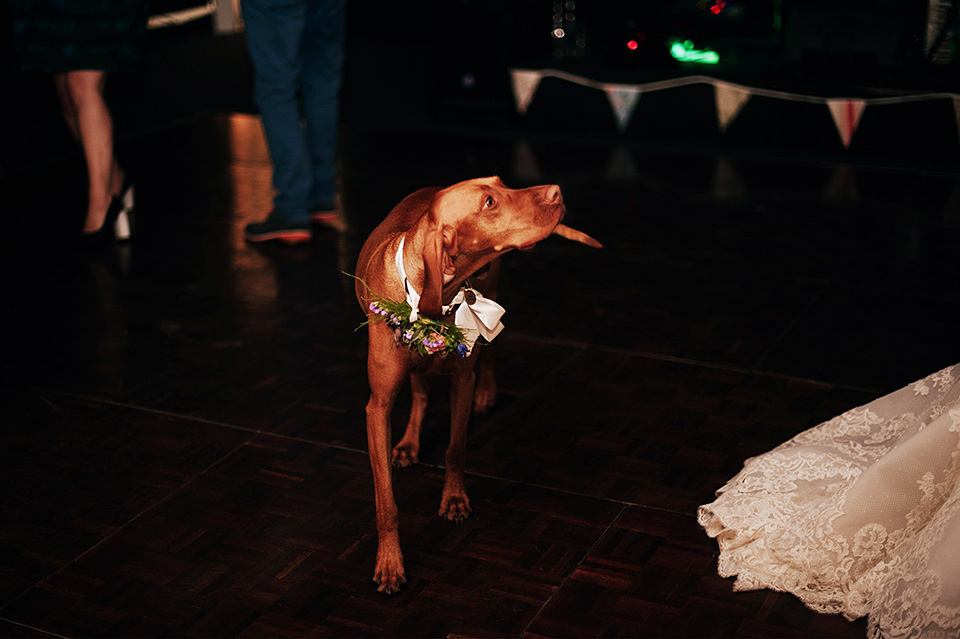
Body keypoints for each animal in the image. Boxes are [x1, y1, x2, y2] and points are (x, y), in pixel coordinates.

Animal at [352, 176, 596, 596]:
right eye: (488, 203)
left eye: (502, 183)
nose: (556, 192)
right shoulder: (378, 406)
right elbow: (386, 501)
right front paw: (389, 563)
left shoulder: (462, 380)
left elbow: (455, 448)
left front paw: (454, 499)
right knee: (419, 391)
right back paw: (409, 443)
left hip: (491, 290)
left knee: (488, 357)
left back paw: (487, 392)